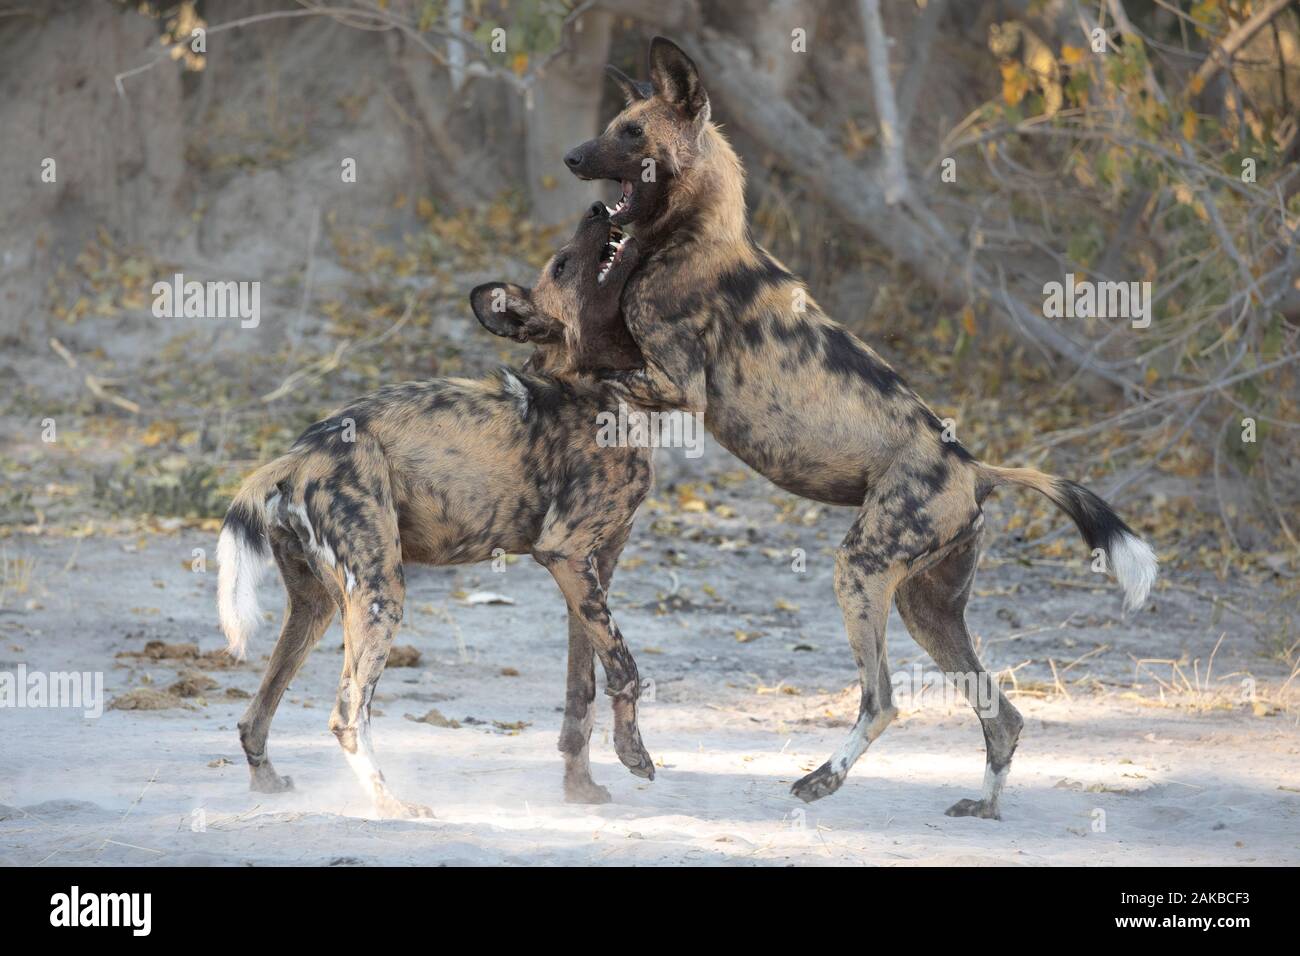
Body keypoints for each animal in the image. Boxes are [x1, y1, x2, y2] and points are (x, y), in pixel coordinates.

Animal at [219, 204, 660, 816]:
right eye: (564, 263)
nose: (597, 208)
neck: (597, 384)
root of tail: (301, 453)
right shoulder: (566, 553)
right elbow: (626, 667)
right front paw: (635, 756)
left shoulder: (593, 569)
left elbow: (583, 690)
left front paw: (581, 788)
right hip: (380, 594)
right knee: (347, 715)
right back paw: (392, 806)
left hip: (317, 606)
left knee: (255, 712)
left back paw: (270, 785)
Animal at [561, 33, 1159, 816]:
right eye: (613, 126)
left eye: (632, 134)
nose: (573, 158)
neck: (689, 236)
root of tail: (974, 467)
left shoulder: (676, 388)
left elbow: (589, 369)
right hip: (925, 607)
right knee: (1000, 713)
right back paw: (983, 806)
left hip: (861, 570)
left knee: (883, 700)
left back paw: (822, 779)